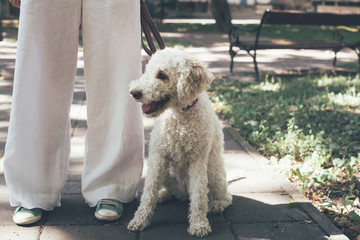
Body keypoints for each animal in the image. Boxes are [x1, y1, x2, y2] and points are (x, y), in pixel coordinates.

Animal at [128, 47, 232, 237]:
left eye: (162, 75)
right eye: (146, 71)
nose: (134, 93)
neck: (180, 115)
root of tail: (183, 191)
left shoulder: (198, 160)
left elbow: (199, 196)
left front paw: (199, 225)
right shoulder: (158, 158)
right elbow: (148, 192)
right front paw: (140, 220)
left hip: (214, 175)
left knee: (224, 197)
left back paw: (216, 205)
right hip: (166, 173)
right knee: (174, 193)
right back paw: (163, 195)